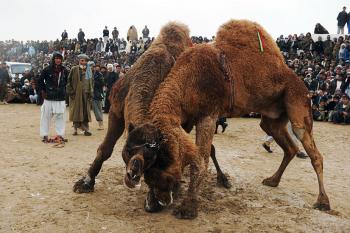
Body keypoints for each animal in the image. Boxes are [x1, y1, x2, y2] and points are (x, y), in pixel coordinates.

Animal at [72, 22, 231, 212]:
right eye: (128, 150)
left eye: (151, 158)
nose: (133, 173)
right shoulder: (116, 111)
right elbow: (105, 149)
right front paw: (85, 183)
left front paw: (153, 199)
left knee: (208, 148)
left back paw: (222, 179)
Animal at [123, 19, 330, 218]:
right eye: (148, 173)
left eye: (161, 167)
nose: (160, 201)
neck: (188, 79)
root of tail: (301, 82)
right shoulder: (189, 118)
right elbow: (205, 153)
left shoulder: (208, 115)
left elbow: (201, 159)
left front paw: (188, 208)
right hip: (272, 118)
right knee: (288, 146)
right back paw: (272, 180)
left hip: (298, 101)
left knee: (312, 151)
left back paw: (323, 202)